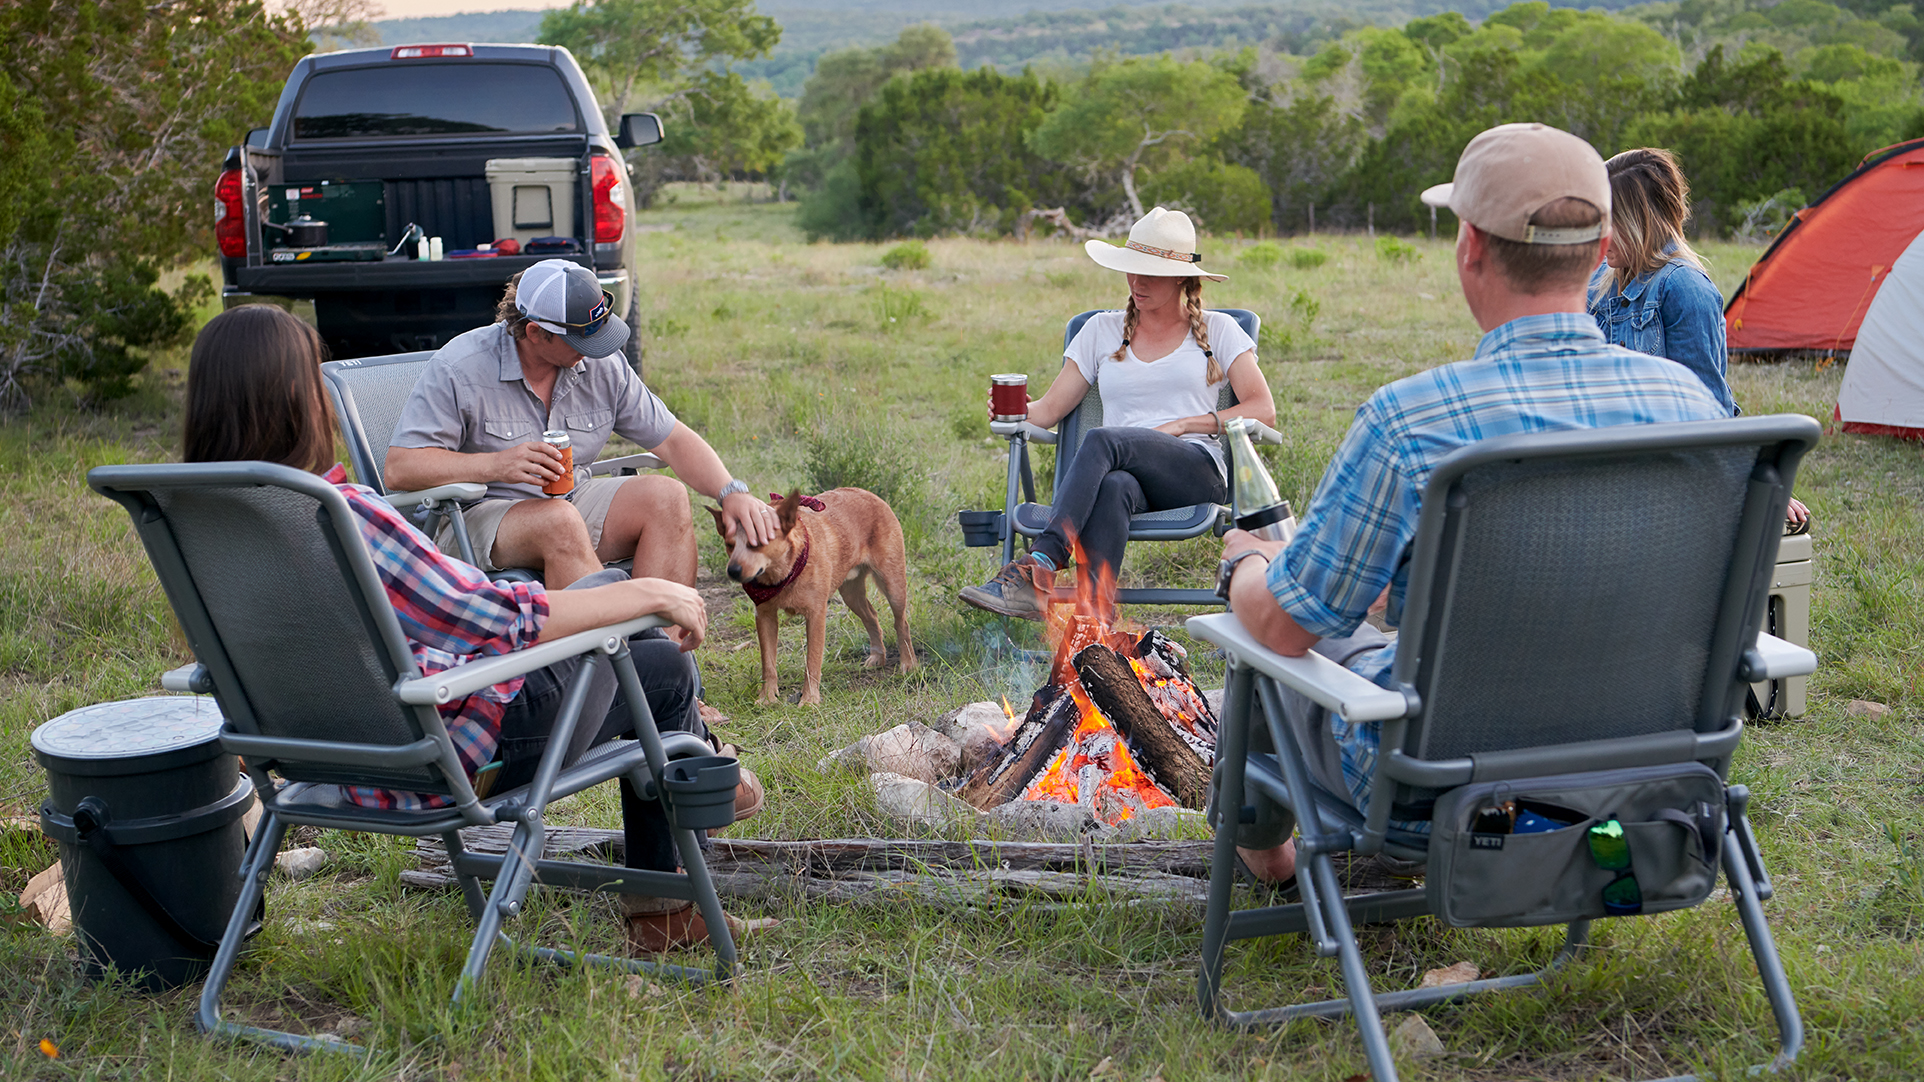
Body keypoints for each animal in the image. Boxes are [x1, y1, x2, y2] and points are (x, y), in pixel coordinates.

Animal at [708, 485, 915, 704]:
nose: (733, 571)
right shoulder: (765, 616)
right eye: (729, 545)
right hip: (851, 594)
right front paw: (767, 698)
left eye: (756, 543)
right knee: (872, 616)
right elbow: (768, 663)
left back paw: (909, 663)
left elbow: (812, 661)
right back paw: (877, 656)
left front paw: (809, 700)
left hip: (892, 585)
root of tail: (865, 492)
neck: (785, 574)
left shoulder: (816, 615)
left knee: (901, 623)